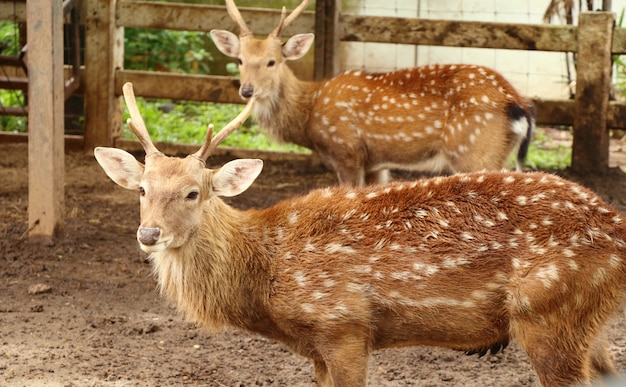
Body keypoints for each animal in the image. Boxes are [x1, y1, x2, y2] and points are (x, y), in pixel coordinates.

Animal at [94, 82, 624, 387]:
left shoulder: (343, 323)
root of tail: (616, 227)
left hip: (547, 309)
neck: (266, 274)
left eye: (193, 193)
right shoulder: (316, 346)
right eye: (141, 188)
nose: (149, 233)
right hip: (583, 317)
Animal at [208, 0, 532, 188]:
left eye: (272, 61)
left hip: (473, 150)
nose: (247, 90)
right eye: (240, 59)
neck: (309, 113)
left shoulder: (346, 150)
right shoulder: (376, 163)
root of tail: (517, 103)